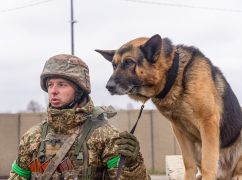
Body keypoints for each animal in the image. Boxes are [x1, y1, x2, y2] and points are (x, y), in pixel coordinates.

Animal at [95, 34, 242, 180]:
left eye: (129, 62)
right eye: (114, 66)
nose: (109, 87)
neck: (174, 74)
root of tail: (225, 174)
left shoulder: (208, 123)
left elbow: (208, 164)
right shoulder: (179, 130)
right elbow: (189, 163)